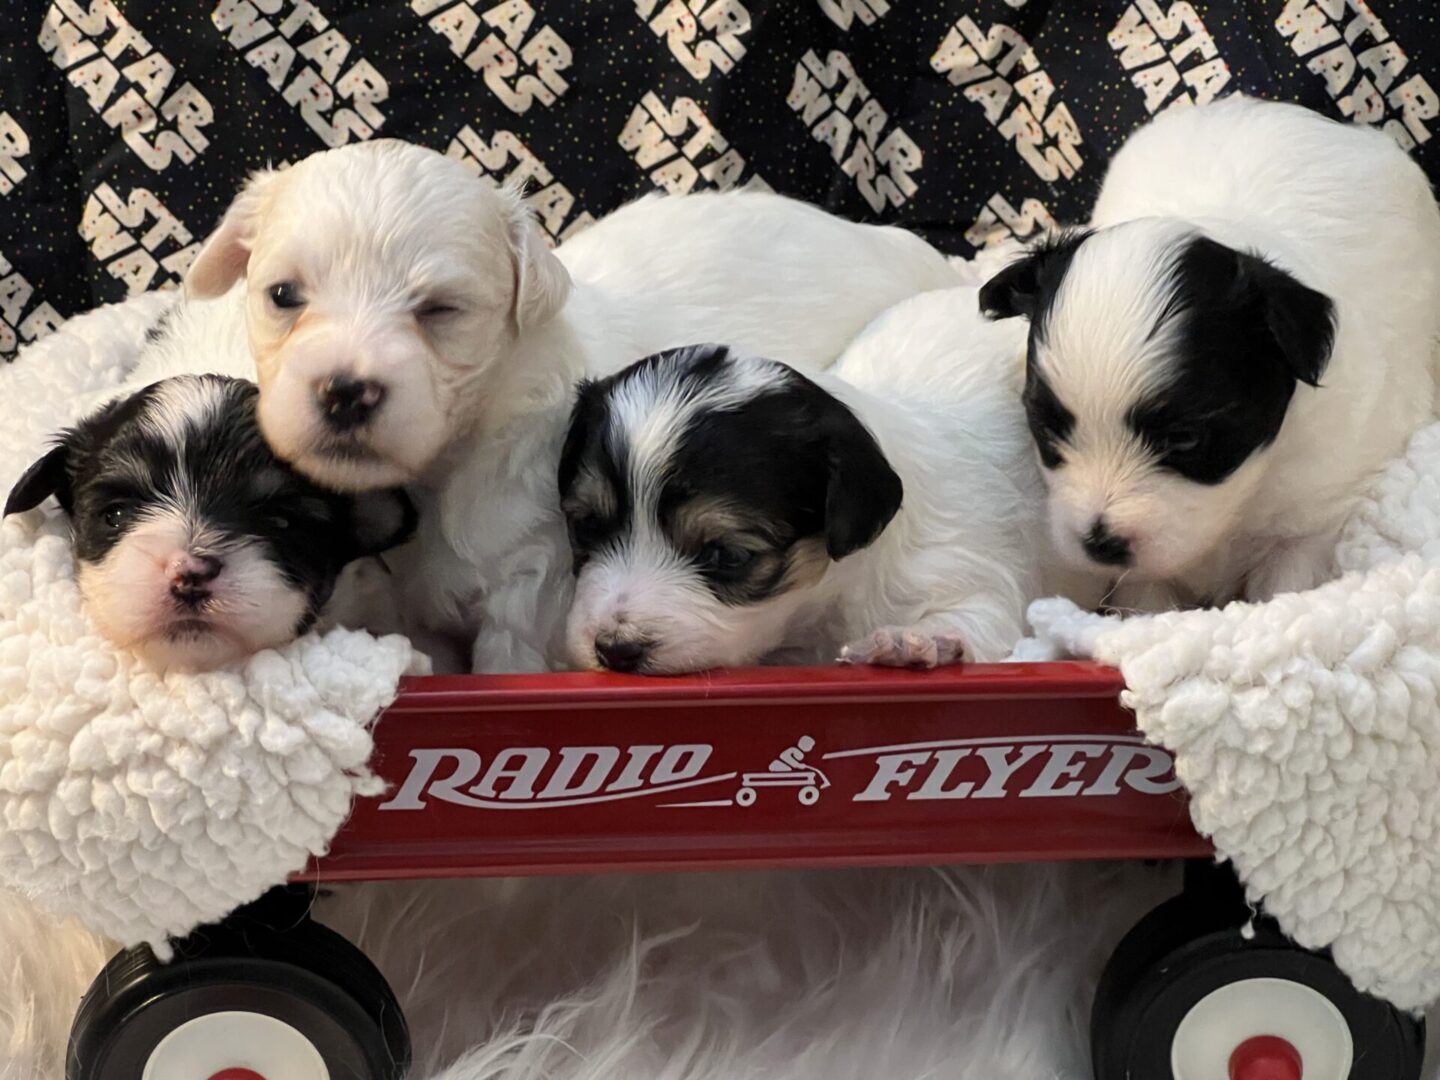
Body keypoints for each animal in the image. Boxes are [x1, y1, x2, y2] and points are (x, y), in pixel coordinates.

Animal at [558, 288, 1048, 676]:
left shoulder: (976, 584)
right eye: (586, 526)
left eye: (727, 555)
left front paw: (913, 641)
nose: (615, 651)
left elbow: (974, 620)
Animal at [979, 97, 1440, 613]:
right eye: (1048, 428)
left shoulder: (1308, 518)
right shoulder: (1144, 578)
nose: (1101, 543)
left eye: (1184, 439)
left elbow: (1285, 586)